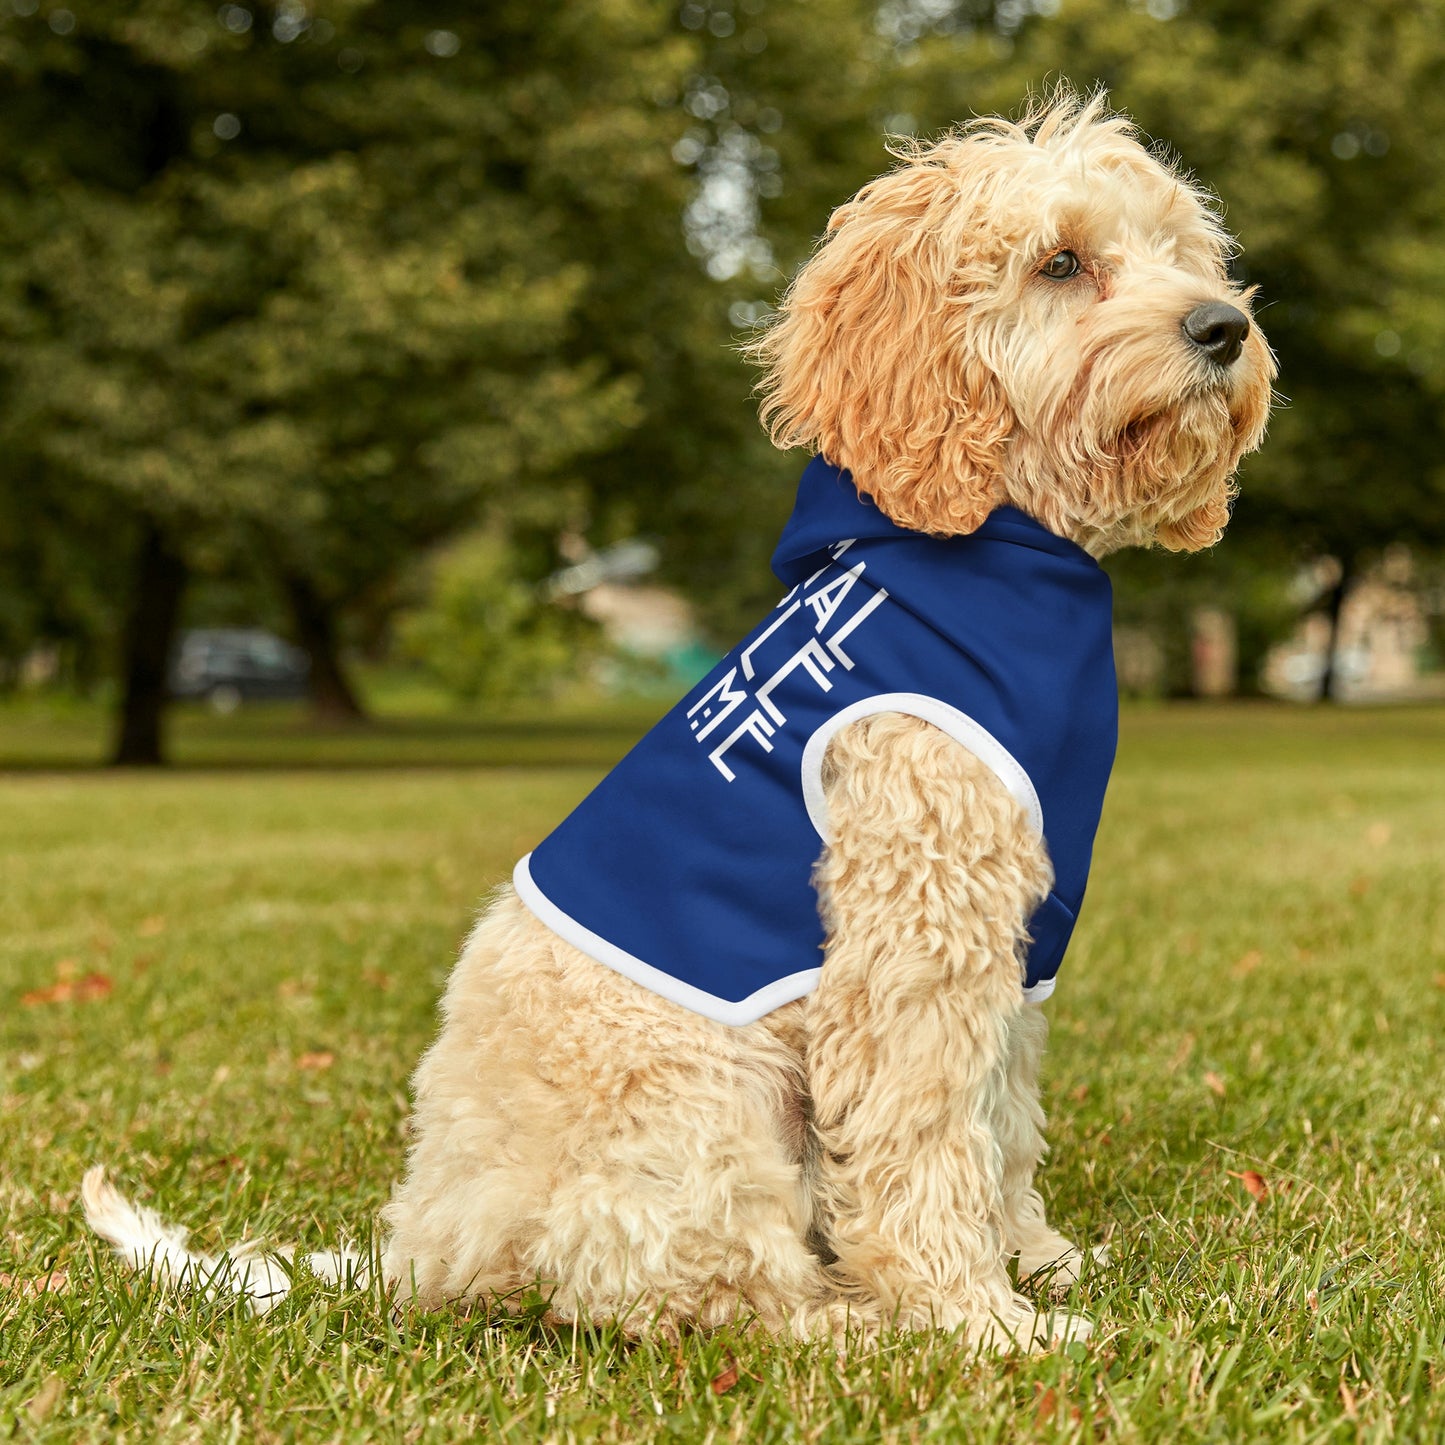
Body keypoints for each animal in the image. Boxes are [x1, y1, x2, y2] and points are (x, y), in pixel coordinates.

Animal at [84, 93, 1271, 1352]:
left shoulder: (1013, 940)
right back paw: (852, 1322)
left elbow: (998, 1119)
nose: (1222, 327)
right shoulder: (913, 933)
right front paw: (976, 1318)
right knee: (699, 1290)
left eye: (1180, 252)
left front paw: (1034, 1259)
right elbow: (924, 1136)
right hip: (705, 1102)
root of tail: (424, 1245)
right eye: (1059, 262)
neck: (993, 545)